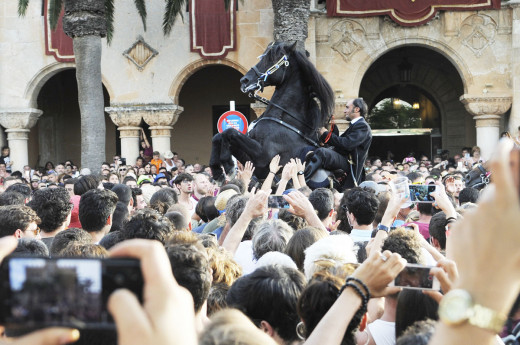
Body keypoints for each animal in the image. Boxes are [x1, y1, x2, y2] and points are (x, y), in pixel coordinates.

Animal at [209, 42, 336, 181]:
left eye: (272, 59)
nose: (244, 81)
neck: (284, 119)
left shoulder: (262, 156)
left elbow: (230, 132)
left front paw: (228, 164)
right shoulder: (251, 162)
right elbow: (220, 135)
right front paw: (217, 170)